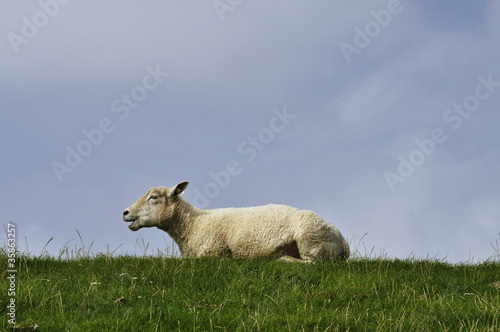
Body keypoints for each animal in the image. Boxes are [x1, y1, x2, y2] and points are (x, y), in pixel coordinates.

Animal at [122, 180, 348, 264]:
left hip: (310, 240)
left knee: (313, 264)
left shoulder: (213, 252)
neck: (194, 224)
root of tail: (343, 243)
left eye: (153, 197)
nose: (125, 212)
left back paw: (281, 259)